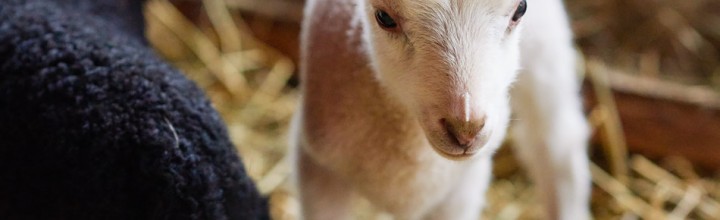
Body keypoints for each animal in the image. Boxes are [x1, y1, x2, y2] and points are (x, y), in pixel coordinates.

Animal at [290, 0, 592, 219]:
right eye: (384, 18)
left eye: (520, 9)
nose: (465, 129)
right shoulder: (318, 170)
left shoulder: (461, 188)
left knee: (556, 143)